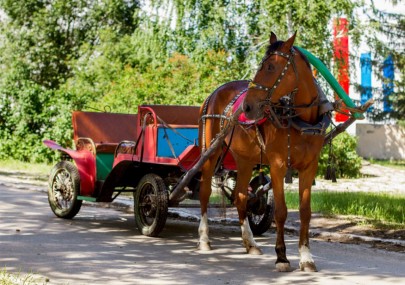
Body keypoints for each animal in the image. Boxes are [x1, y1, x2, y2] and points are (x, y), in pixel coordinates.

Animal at [198, 31, 328, 270]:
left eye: (270, 67)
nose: (248, 106)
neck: (302, 121)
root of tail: (214, 93)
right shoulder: (277, 165)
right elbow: (281, 212)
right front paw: (282, 257)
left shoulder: (309, 166)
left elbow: (305, 212)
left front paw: (306, 257)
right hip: (211, 151)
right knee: (204, 192)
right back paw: (204, 239)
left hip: (245, 159)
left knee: (240, 196)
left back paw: (250, 243)